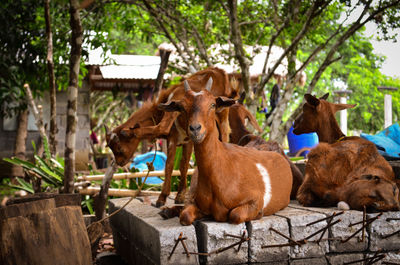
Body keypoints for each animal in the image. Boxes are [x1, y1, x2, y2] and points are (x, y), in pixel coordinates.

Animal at [105, 66, 238, 206]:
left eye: (119, 148)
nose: (119, 162)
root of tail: (219, 72)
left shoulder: (178, 139)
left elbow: (172, 165)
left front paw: (163, 197)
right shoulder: (184, 140)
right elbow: (181, 165)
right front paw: (180, 195)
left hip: (217, 117)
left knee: (164, 127)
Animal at [159, 79, 294, 225]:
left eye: (212, 104)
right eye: (182, 107)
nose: (195, 129)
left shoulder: (255, 199)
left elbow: (235, 215)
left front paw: (258, 214)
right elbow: (185, 216)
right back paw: (166, 211)